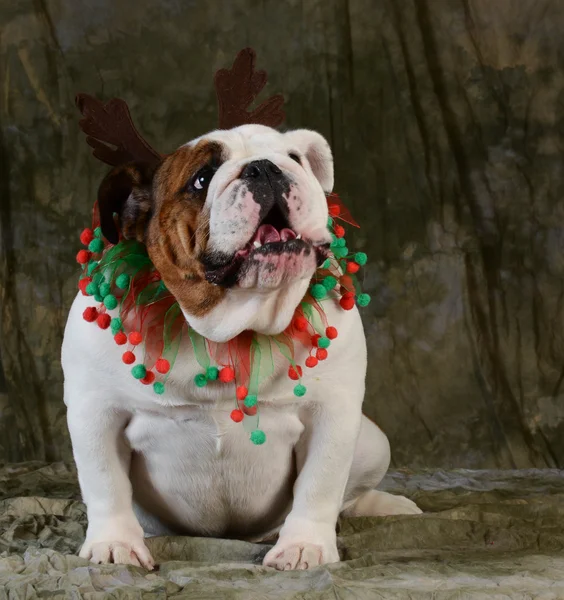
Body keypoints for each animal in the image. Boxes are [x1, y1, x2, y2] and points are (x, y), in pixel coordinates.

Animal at [64, 125, 420, 572]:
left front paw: (304, 547)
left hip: (373, 441)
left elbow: (320, 484)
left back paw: (388, 506)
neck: (226, 329)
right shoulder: (96, 413)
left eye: (295, 158)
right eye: (201, 179)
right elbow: (105, 484)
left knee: (350, 495)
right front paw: (115, 545)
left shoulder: (332, 414)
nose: (264, 168)